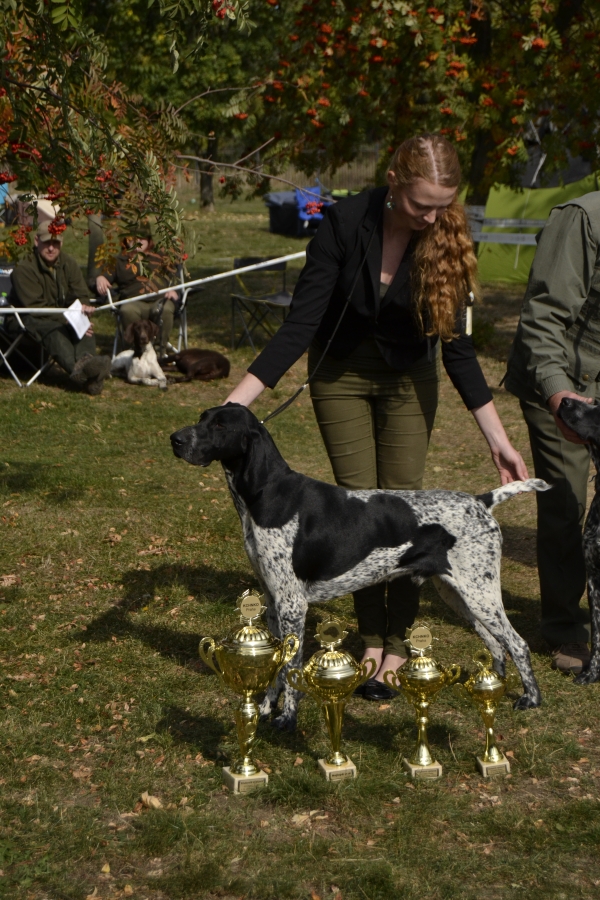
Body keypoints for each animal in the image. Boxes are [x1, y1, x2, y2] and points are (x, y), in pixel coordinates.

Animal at [171, 404, 548, 730]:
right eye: (202, 417)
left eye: (220, 425)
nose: (175, 439)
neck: (269, 494)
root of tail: (482, 501)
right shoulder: (274, 602)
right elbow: (276, 667)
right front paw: (264, 708)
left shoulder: (293, 604)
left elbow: (290, 669)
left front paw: (287, 719)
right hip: (459, 595)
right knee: (496, 644)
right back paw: (491, 688)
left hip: (479, 593)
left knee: (517, 643)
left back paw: (530, 699)